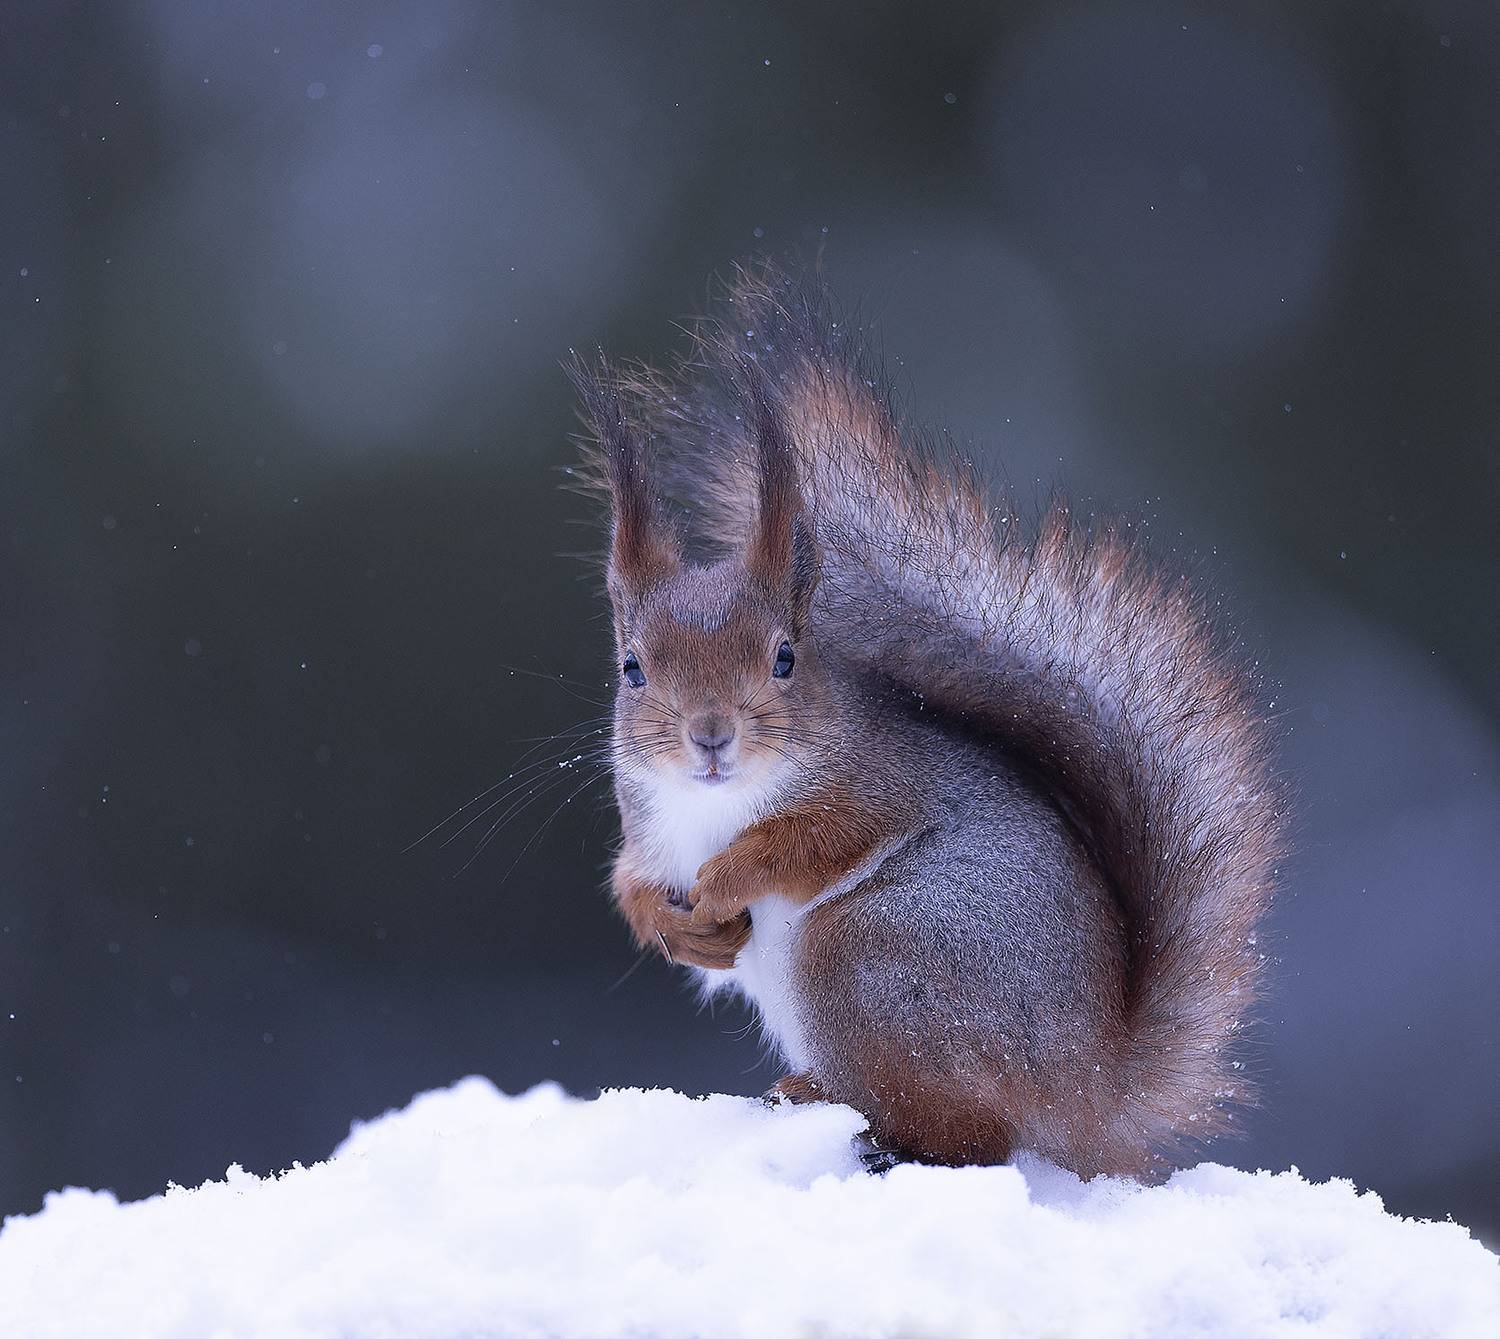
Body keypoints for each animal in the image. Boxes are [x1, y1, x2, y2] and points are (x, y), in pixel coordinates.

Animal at [571, 263, 1281, 1179]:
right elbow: (633, 879)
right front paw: (676, 926)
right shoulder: (650, 824)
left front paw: (730, 876)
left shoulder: (875, 785)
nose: (710, 735)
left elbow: (812, 840)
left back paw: (858, 1119)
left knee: (976, 1137)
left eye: (785, 658)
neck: (713, 802)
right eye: (631, 669)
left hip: (872, 955)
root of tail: (1091, 1093)